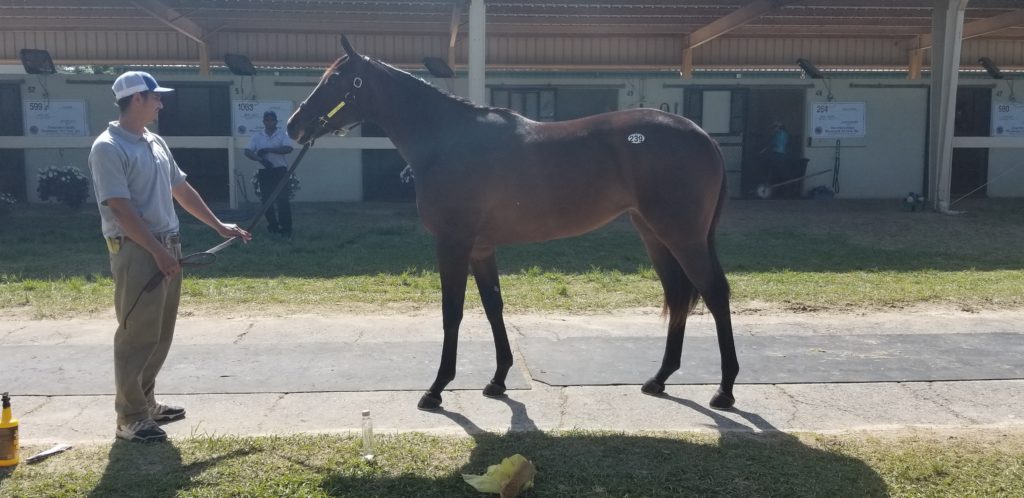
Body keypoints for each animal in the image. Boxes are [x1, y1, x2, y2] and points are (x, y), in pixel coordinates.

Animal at [284, 36, 741, 411]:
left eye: (335, 80)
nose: (294, 125)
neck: (449, 141)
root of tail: (702, 134)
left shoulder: (453, 244)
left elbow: (452, 312)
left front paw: (437, 388)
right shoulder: (481, 248)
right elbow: (493, 307)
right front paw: (498, 379)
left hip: (682, 235)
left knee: (714, 292)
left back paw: (725, 389)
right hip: (654, 234)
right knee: (679, 294)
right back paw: (659, 379)